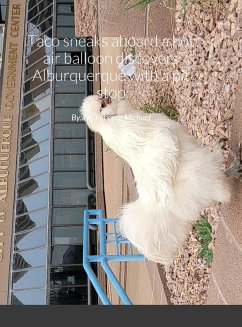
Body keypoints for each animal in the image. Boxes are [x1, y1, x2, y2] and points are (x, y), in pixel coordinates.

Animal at [80, 93, 232, 266]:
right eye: (102, 106)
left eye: (101, 100)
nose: (105, 96)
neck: (112, 119)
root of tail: (153, 205)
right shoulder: (161, 135)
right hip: (199, 175)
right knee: (219, 189)